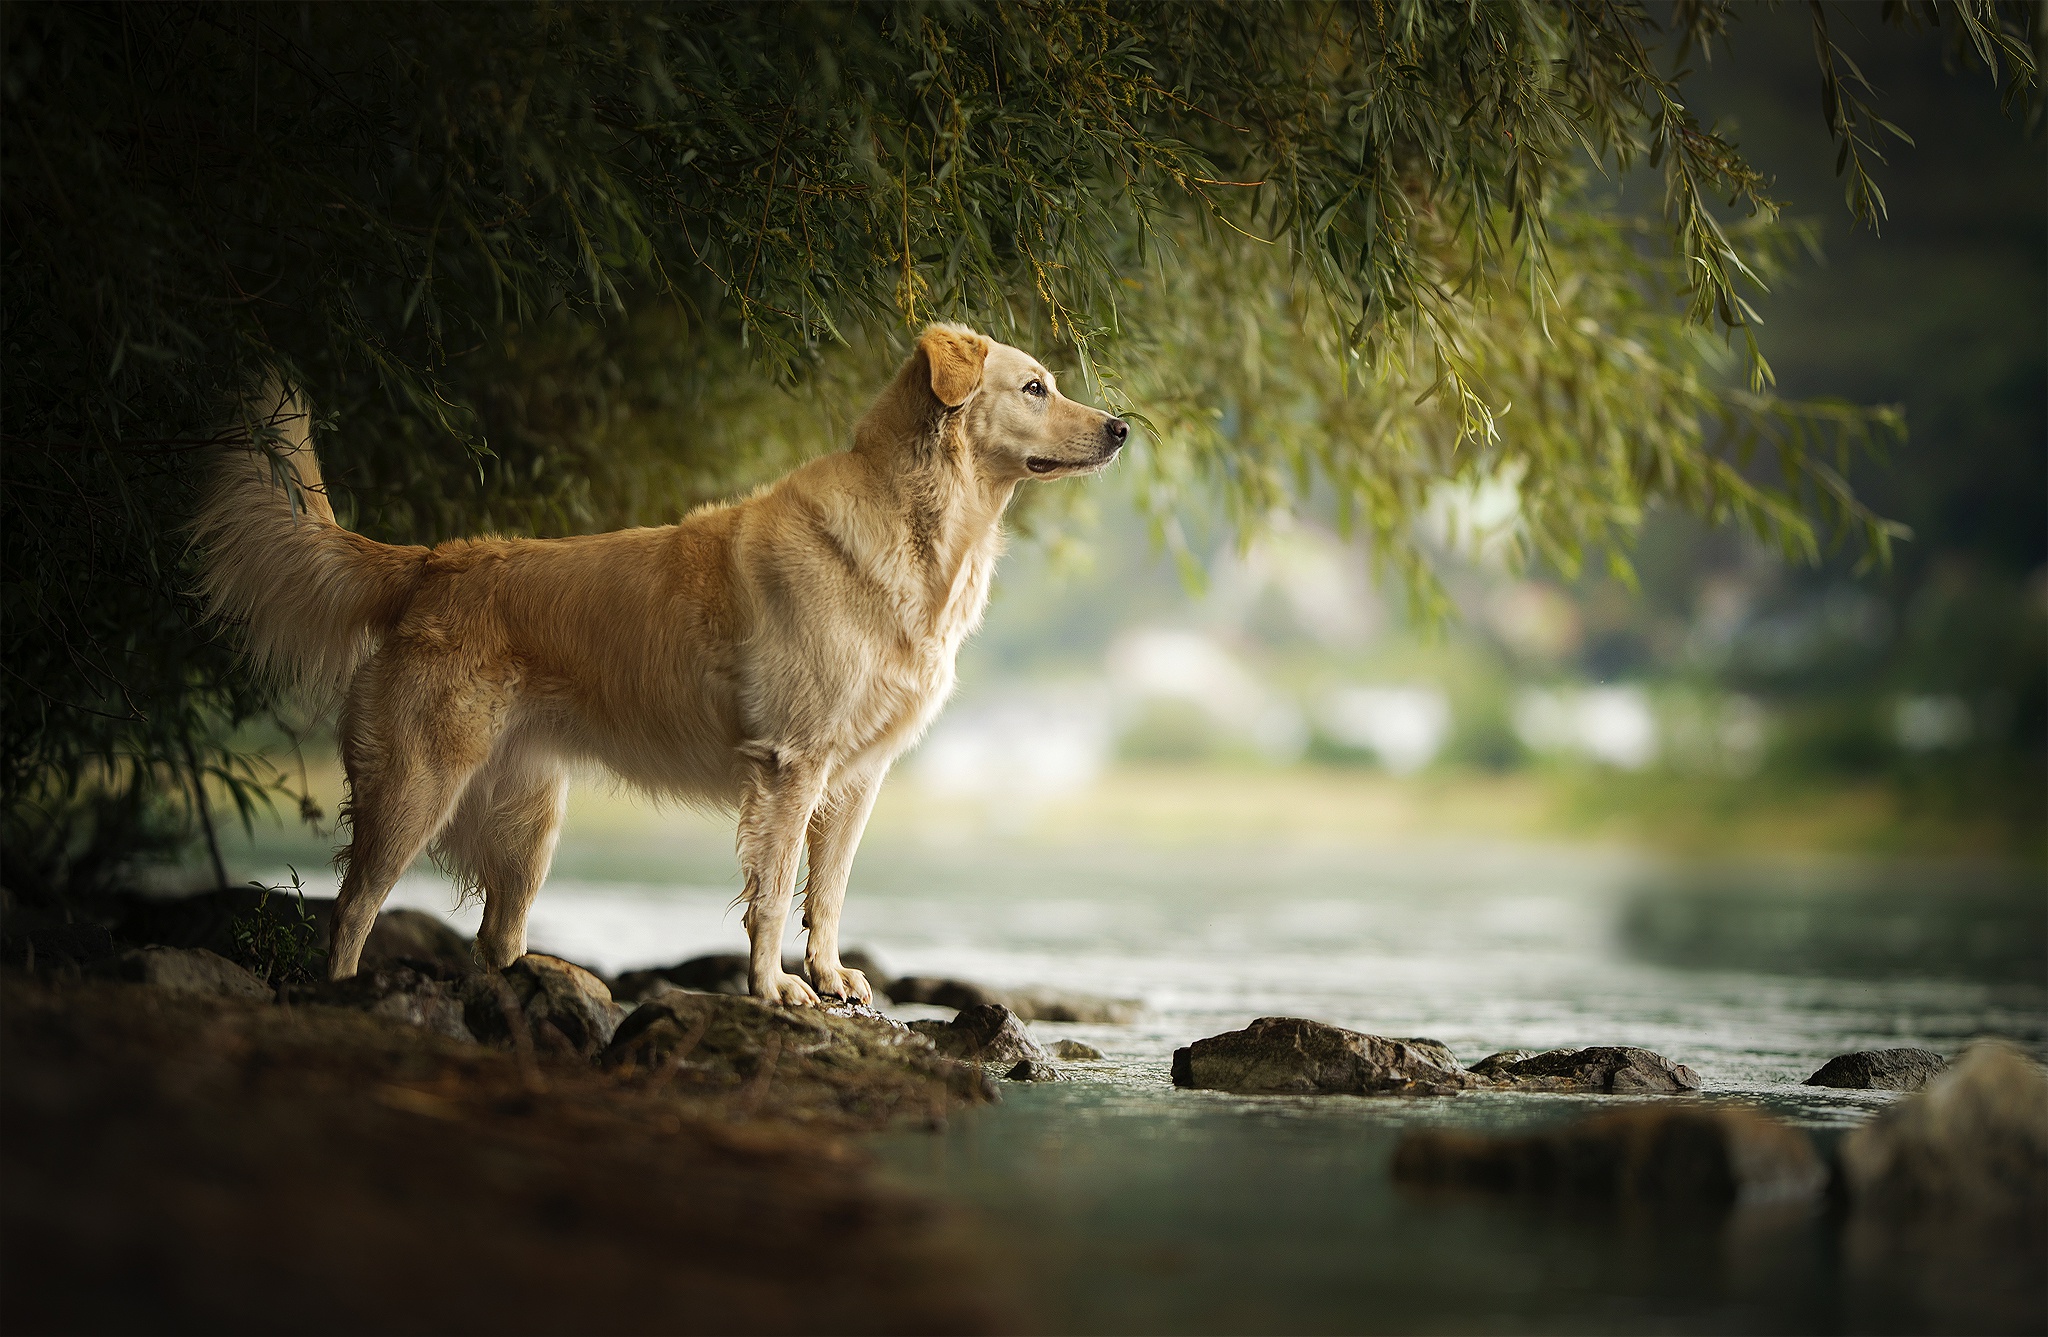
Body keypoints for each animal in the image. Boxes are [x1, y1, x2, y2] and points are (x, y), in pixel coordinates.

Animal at [197, 325, 1130, 999]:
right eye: (1035, 387)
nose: (1122, 428)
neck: (918, 530)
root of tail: (432, 560)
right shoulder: (790, 766)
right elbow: (774, 892)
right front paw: (774, 990)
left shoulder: (858, 776)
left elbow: (826, 893)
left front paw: (831, 978)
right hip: (415, 783)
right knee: (352, 908)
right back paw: (345, 993)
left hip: (529, 819)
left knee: (495, 939)